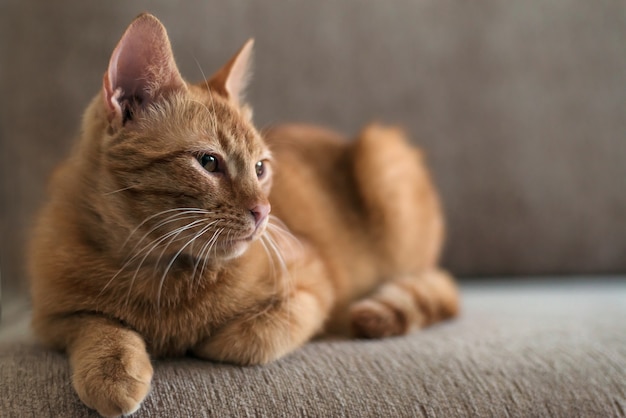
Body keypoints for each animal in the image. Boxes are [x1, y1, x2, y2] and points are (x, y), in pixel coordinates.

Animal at [28, 13, 458, 418]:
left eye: (260, 168)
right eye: (208, 162)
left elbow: (253, 339)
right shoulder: (50, 319)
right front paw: (113, 370)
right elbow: (96, 324)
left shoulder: (313, 286)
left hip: (384, 157)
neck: (160, 271)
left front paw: (205, 342)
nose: (264, 211)